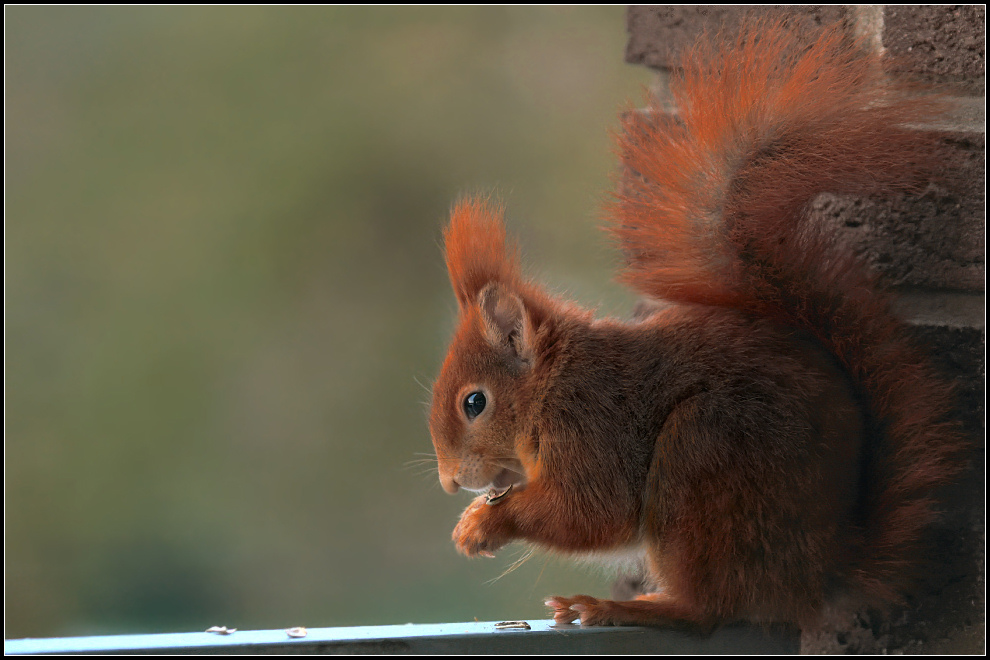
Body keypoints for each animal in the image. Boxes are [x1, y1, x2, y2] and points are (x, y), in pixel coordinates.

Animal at [424, 21, 960, 628]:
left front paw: (483, 523)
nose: (449, 481)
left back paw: (623, 607)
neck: (553, 384)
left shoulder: (593, 427)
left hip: (701, 459)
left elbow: (593, 512)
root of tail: (820, 573)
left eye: (474, 403)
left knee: (707, 608)